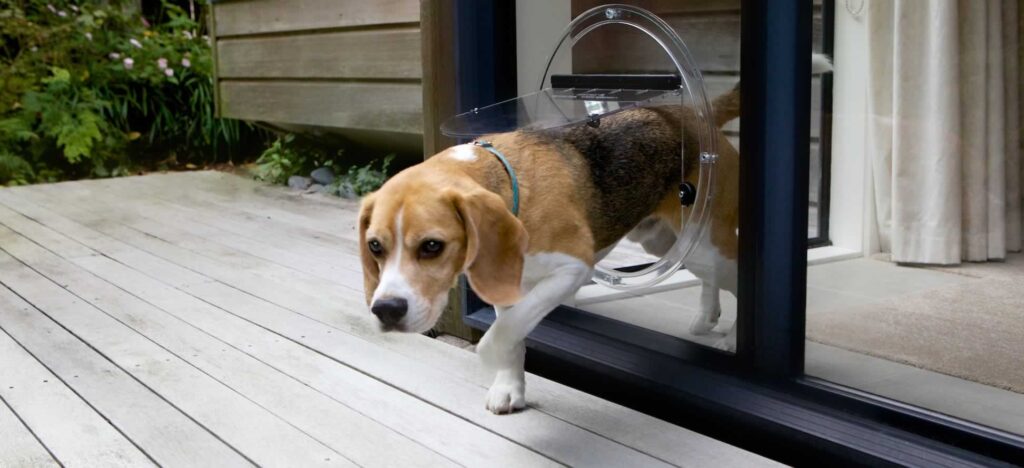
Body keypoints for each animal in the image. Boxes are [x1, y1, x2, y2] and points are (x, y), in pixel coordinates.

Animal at [356, 54, 827, 411]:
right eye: (375, 247)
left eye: (432, 246)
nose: (386, 311)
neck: (508, 179)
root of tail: (691, 113)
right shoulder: (507, 284)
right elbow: (514, 333)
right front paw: (510, 387)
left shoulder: (571, 269)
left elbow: (506, 332)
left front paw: (490, 355)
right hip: (664, 240)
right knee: (708, 280)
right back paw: (706, 316)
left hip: (707, 244)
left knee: (736, 274)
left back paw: (731, 337)